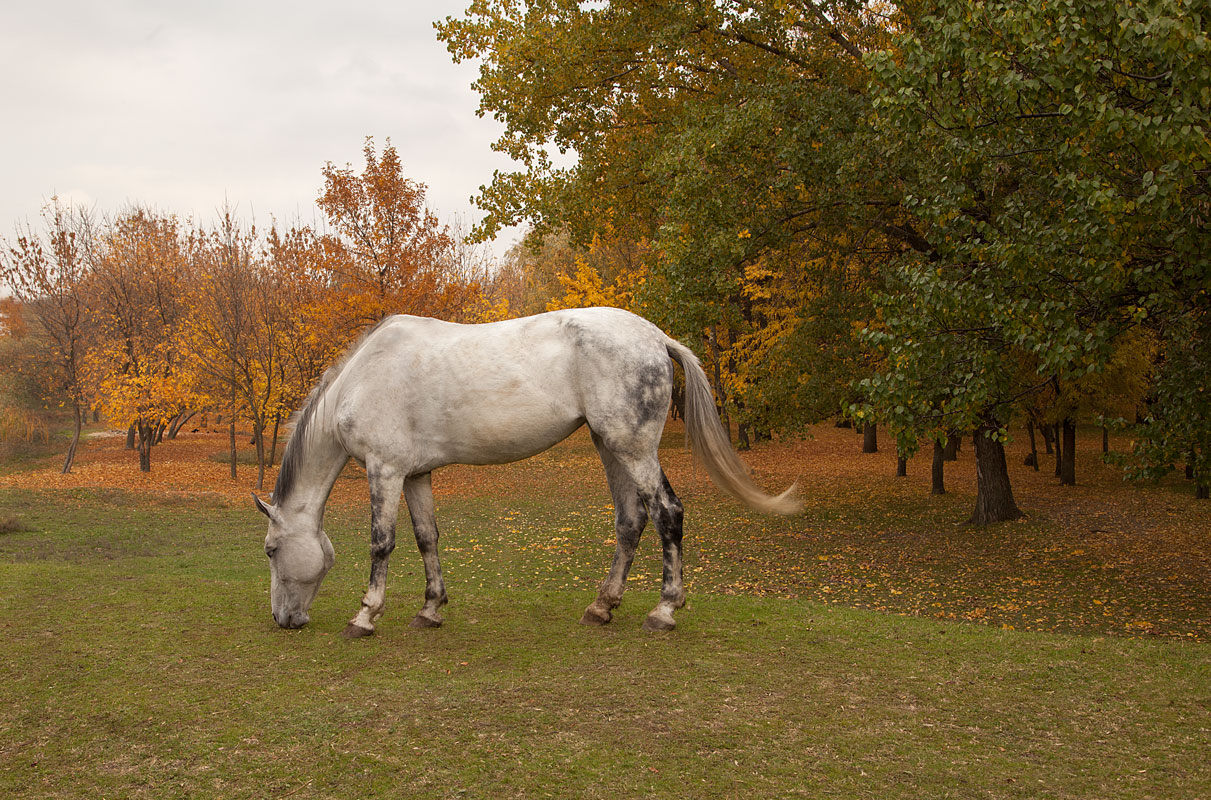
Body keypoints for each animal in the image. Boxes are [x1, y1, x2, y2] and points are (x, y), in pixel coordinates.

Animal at [250, 306, 799, 634]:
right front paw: (430, 609)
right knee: (630, 521)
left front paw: (366, 615)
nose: (282, 619)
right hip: (610, 447)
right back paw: (602, 606)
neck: (362, 379)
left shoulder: (384, 471)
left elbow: (382, 543)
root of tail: (656, 336)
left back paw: (664, 609)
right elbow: (427, 538)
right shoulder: (414, 475)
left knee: (667, 513)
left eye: (272, 550)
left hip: (634, 448)